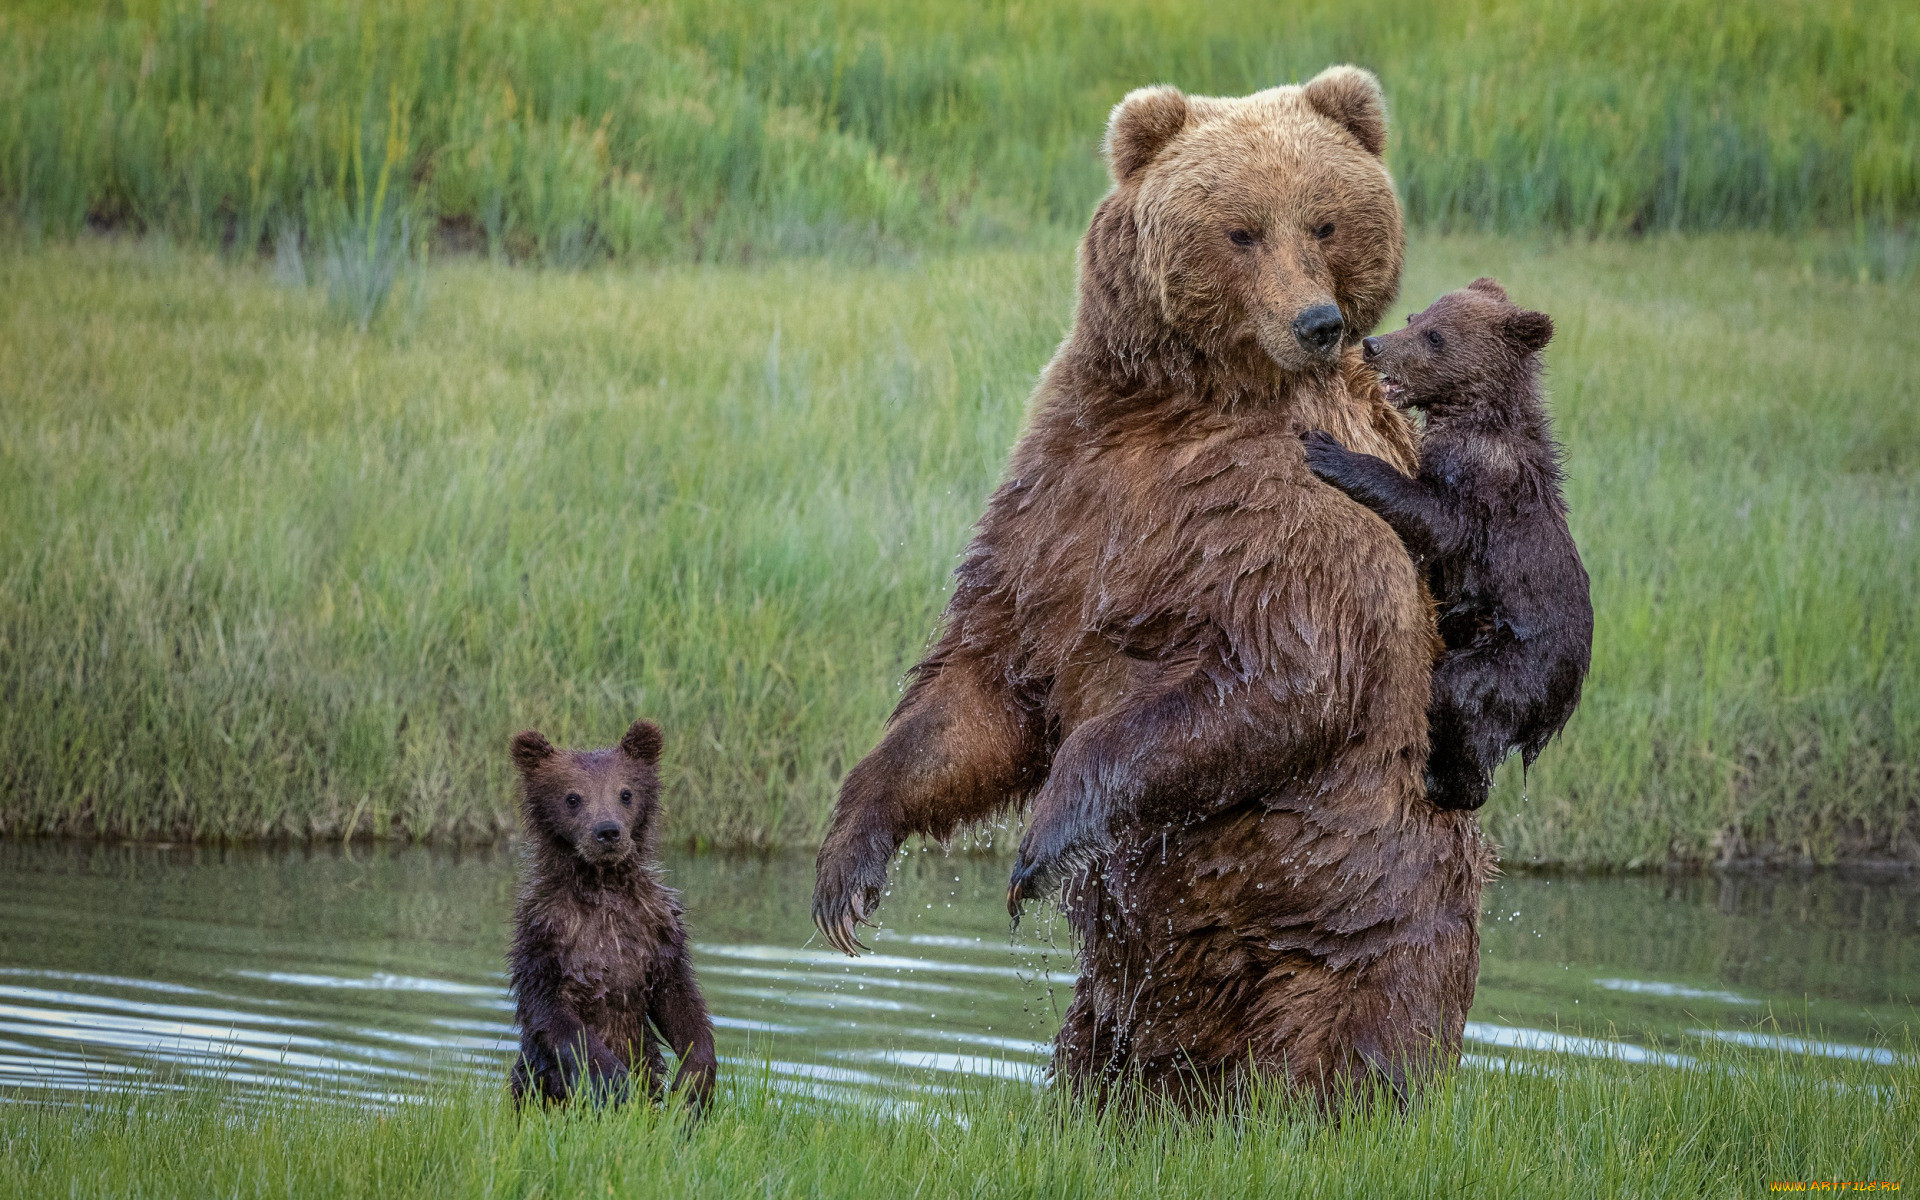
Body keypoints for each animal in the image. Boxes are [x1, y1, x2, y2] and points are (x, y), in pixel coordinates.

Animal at [506, 721, 718, 1105]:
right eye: (572, 797)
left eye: (626, 793)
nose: (607, 831)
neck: (603, 887)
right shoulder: (545, 934)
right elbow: (552, 1012)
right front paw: (614, 1079)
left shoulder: (657, 930)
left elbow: (679, 1002)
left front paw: (694, 1081)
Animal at [817, 63, 1489, 1098]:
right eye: (1242, 229)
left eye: (1326, 222)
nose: (1317, 323)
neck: (1178, 406)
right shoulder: (1064, 496)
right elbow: (984, 683)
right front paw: (848, 868)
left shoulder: (1299, 507)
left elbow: (1279, 678)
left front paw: (1042, 840)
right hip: (1119, 1008)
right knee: (1103, 1056)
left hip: (1353, 927)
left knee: (1350, 1047)